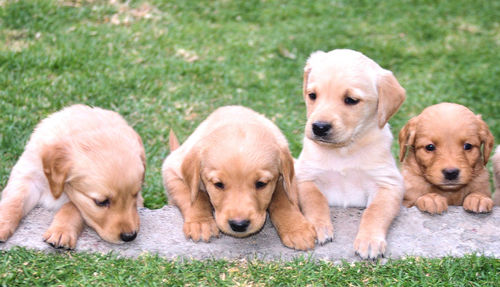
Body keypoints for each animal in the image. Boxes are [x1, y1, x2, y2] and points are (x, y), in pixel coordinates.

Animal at [0, 105, 146, 250]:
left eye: (135, 194)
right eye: (101, 202)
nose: (130, 236)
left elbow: (72, 208)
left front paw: (61, 231)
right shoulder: (28, 176)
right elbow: (14, 201)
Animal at [292, 48, 406, 260]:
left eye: (351, 100)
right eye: (312, 95)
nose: (319, 127)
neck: (344, 151)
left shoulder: (389, 183)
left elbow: (375, 211)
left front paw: (370, 240)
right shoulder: (305, 177)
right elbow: (315, 200)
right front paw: (318, 227)